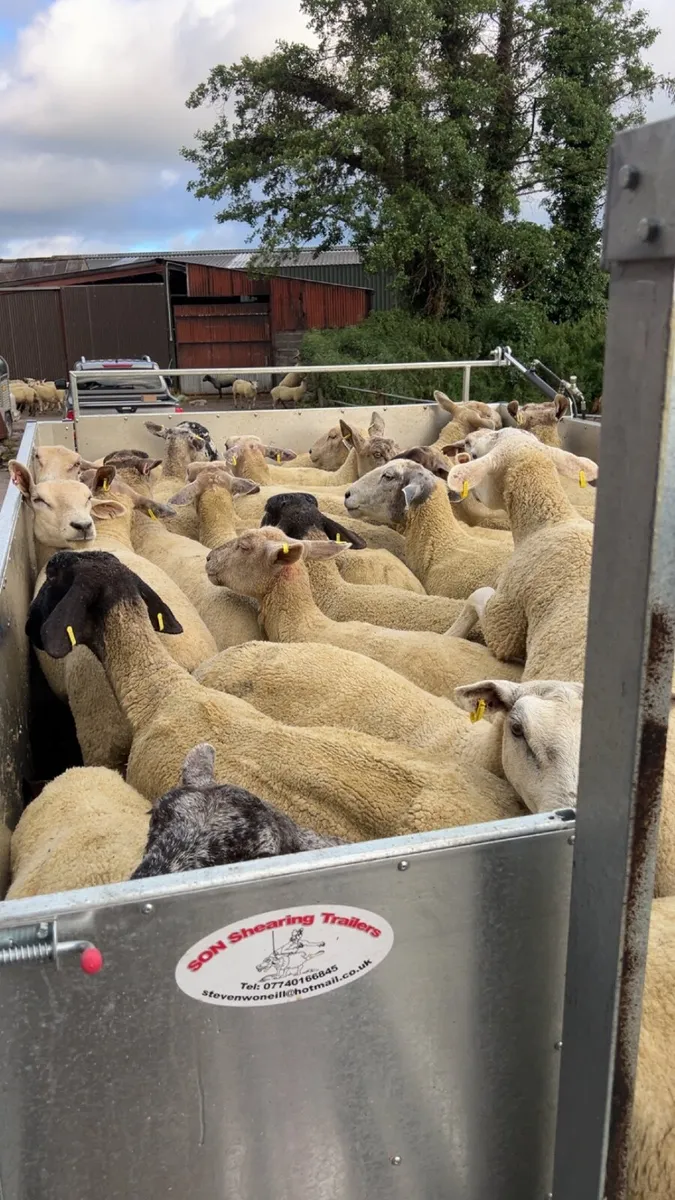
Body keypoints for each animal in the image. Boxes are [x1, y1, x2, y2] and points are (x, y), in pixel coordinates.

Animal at [444, 436, 596, 681]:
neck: (549, 521)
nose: (467, 440)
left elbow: (477, 595)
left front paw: (451, 633)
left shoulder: (505, 620)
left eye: (475, 454)